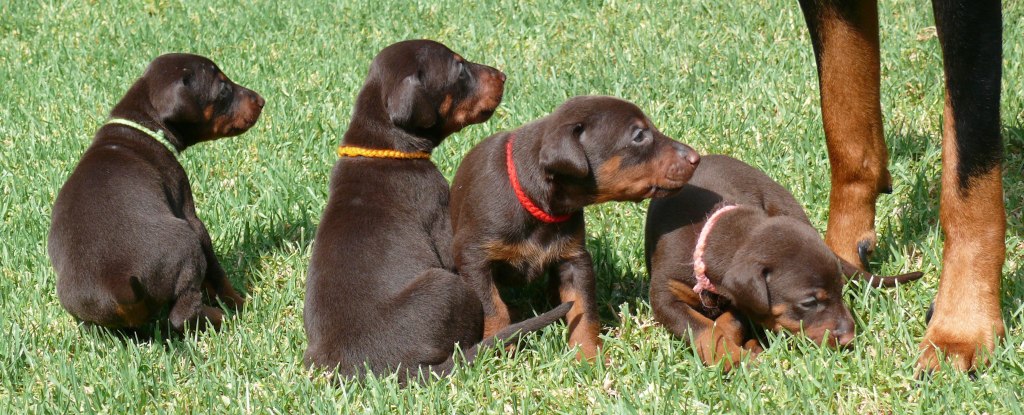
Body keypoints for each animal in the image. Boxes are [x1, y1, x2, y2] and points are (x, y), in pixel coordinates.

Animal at [48, 53, 264, 332]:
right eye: (224, 88)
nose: (261, 100)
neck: (143, 127)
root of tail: (119, 287)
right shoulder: (190, 215)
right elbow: (218, 275)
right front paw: (239, 302)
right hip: (186, 243)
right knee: (182, 314)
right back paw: (223, 317)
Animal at [303, 38, 577, 381]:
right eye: (459, 68)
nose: (502, 76)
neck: (383, 147)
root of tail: (399, 371)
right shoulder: (443, 219)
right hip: (447, 287)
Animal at [452, 94, 700, 358]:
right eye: (639, 136)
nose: (696, 158)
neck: (536, 201)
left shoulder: (575, 260)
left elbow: (583, 308)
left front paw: (588, 354)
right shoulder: (473, 258)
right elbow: (493, 308)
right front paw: (499, 348)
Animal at [643, 155, 925, 368]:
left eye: (840, 291)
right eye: (809, 302)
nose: (849, 338)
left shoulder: (737, 300)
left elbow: (731, 321)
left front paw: (742, 346)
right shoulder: (664, 295)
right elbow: (702, 329)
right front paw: (731, 356)